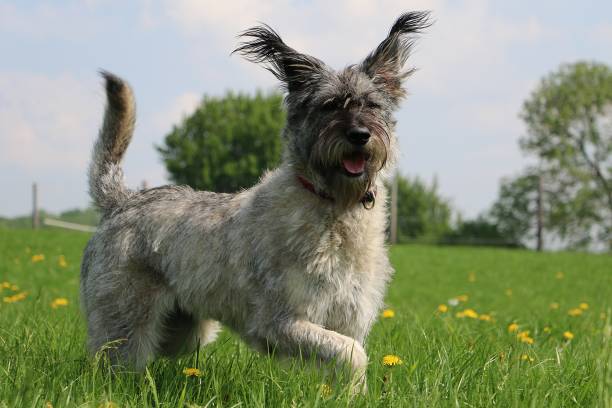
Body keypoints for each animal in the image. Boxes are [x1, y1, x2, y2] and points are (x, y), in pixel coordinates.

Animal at [81, 11, 430, 388]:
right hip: (125, 324)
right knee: (115, 362)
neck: (335, 208)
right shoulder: (279, 321)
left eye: (371, 104)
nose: (359, 135)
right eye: (329, 106)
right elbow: (351, 353)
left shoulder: (347, 317)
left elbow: (347, 355)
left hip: (185, 331)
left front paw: (349, 394)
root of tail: (121, 201)